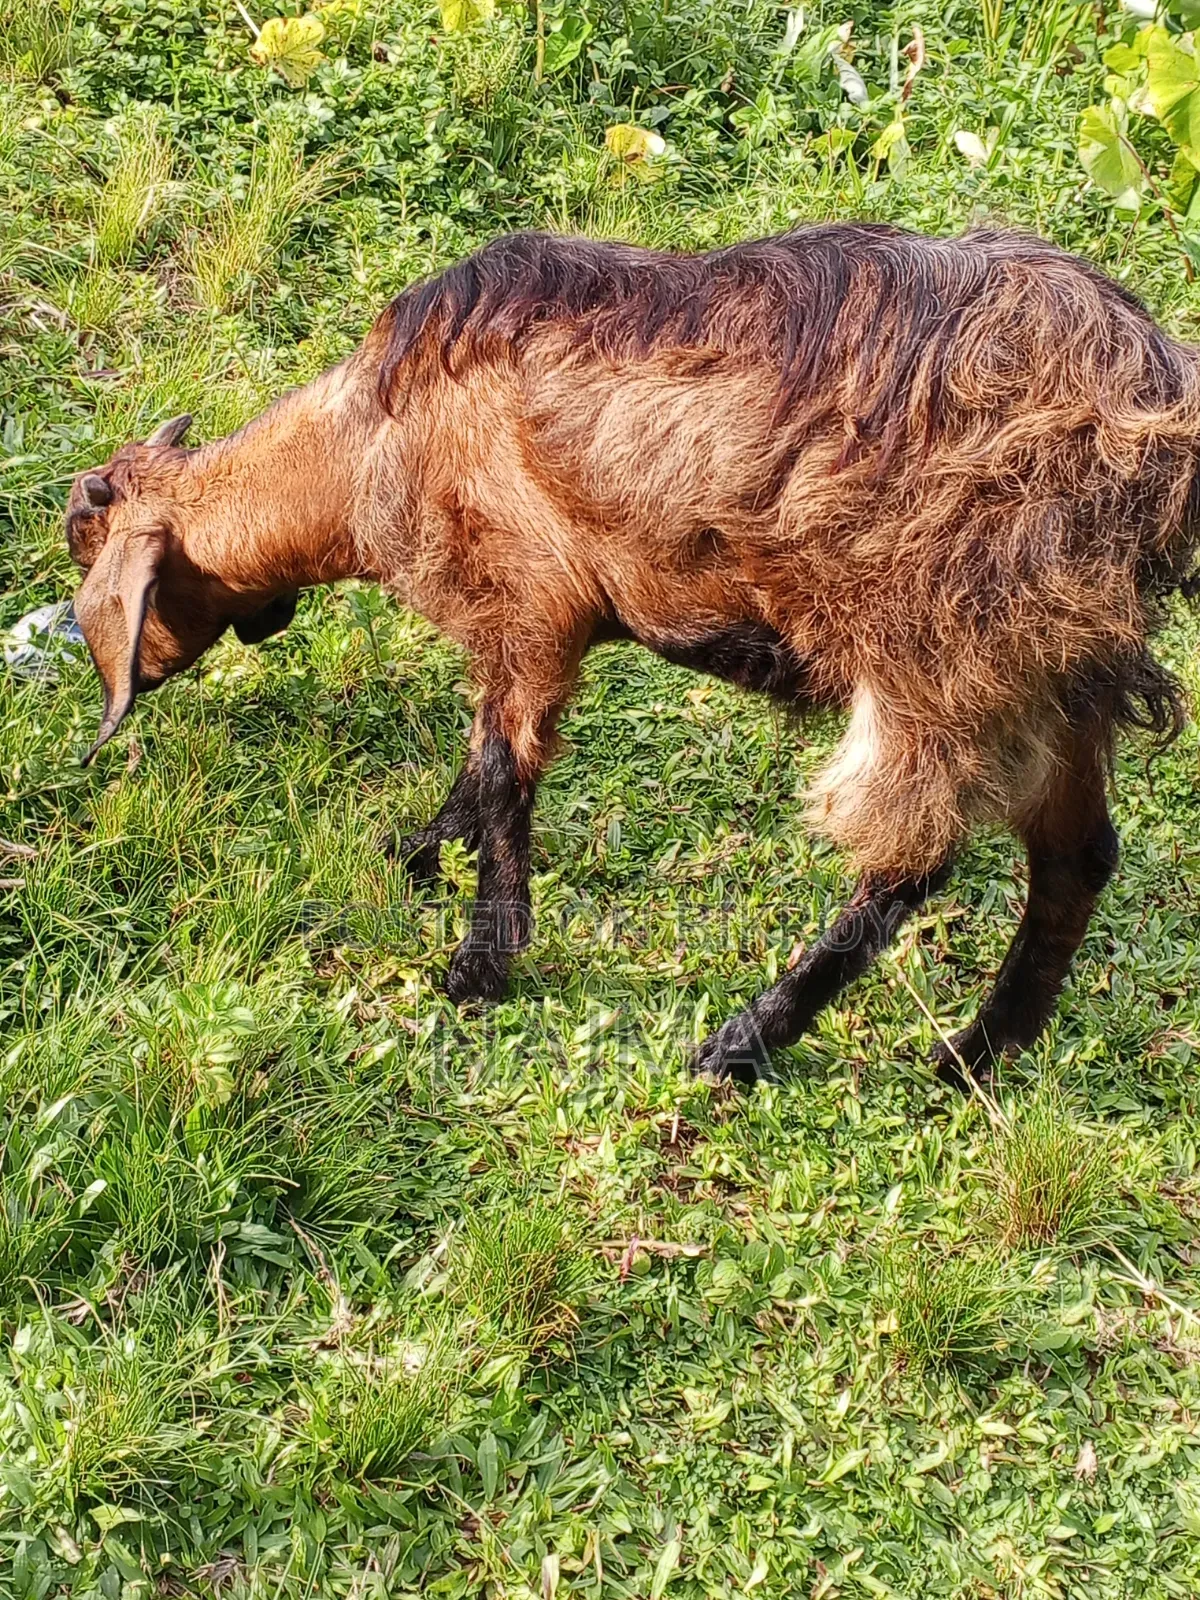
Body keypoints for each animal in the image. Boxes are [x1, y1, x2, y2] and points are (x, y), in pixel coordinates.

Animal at [65, 223, 1200, 1087]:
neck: (372, 441)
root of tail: (1152, 403)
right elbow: (481, 766)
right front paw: (424, 852)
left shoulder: (532, 604)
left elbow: (504, 770)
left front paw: (479, 965)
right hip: (1057, 669)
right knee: (1078, 856)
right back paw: (978, 1056)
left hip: (946, 650)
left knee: (910, 865)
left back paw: (745, 1042)